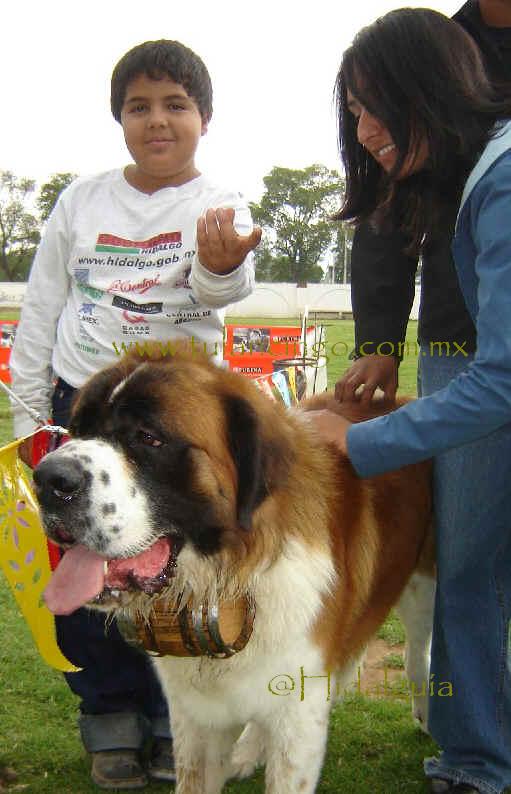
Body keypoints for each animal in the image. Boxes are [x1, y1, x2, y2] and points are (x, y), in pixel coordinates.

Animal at [34, 350, 436, 788]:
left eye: (148, 437)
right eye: (76, 430)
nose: (47, 479)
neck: (230, 578)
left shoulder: (301, 714)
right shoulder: (194, 717)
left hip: (424, 587)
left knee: (418, 650)